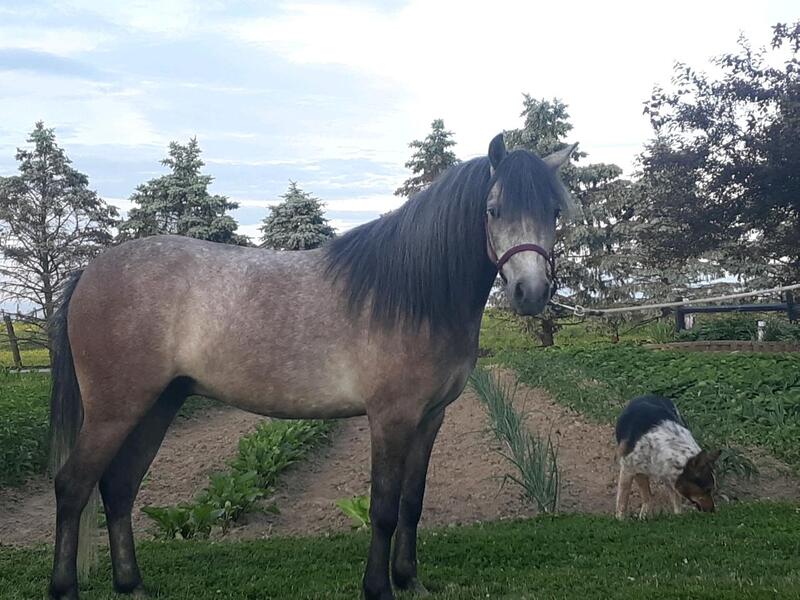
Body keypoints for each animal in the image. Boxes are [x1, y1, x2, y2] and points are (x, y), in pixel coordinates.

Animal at [48, 132, 576, 600]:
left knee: (119, 489)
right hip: (115, 411)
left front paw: (409, 580)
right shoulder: (391, 417)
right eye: (493, 209)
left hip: (159, 404)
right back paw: (65, 588)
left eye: (553, 211)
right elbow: (383, 507)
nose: (531, 293)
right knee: (73, 487)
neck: (416, 296)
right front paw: (378, 588)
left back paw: (131, 584)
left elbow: (412, 501)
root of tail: (90, 271)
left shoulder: (431, 418)